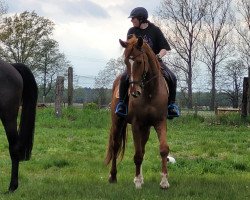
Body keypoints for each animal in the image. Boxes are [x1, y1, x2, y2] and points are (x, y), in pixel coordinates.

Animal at [104, 34, 171, 189]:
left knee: (143, 148)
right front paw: (137, 182)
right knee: (115, 146)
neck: (150, 92)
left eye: (139, 62)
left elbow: (163, 149)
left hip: (146, 128)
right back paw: (113, 176)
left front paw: (164, 181)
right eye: (125, 62)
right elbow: (137, 155)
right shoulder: (136, 124)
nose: (135, 92)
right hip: (118, 122)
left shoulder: (160, 121)